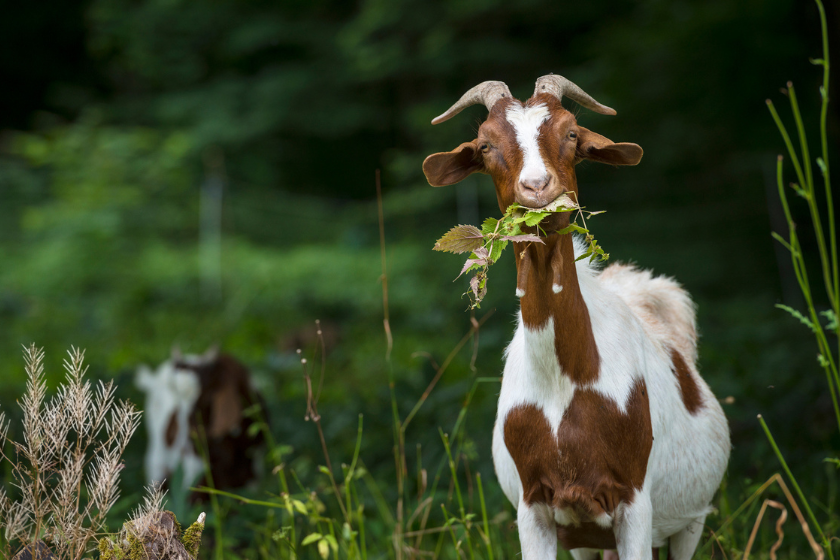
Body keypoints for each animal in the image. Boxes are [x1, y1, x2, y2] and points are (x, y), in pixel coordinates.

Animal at [422, 76, 730, 560]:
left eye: (571, 133)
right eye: (486, 145)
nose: (537, 186)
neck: (566, 381)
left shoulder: (634, 502)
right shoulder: (535, 505)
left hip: (691, 519)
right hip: (586, 536)